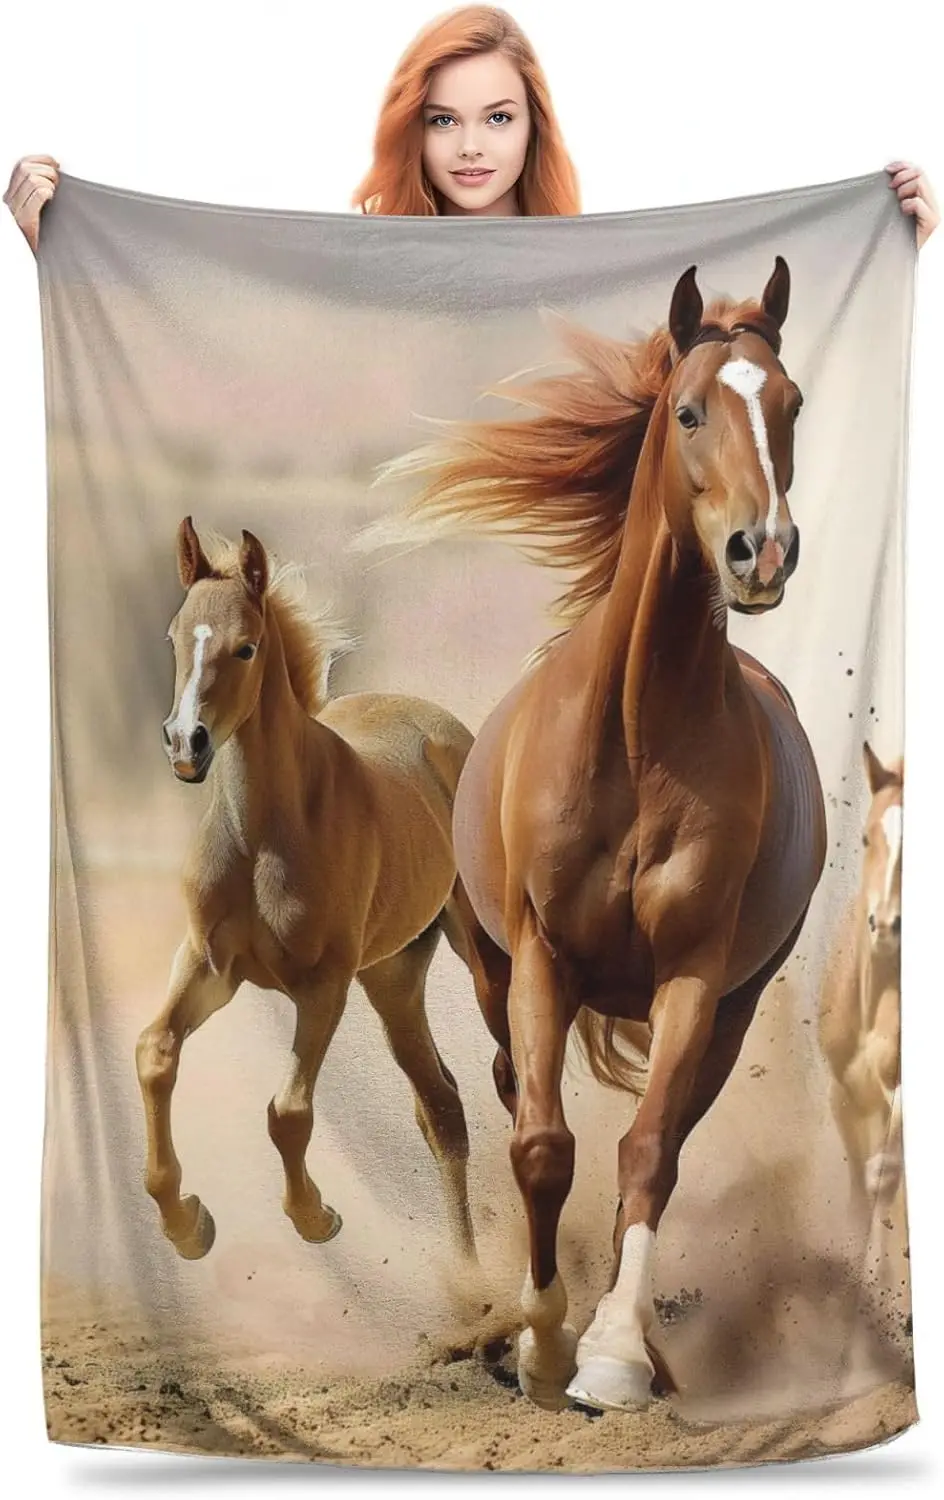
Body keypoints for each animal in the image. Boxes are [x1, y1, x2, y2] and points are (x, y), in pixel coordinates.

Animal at [135, 518, 479, 1267]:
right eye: (173, 638)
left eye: (246, 646)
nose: (185, 746)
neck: (263, 838)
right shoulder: (208, 966)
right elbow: (156, 1054)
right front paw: (185, 1222)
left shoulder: (323, 985)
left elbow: (288, 1112)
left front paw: (316, 1217)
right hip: (393, 977)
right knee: (441, 1107)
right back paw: (473, 1277)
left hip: (478, 955)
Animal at [360, 260, 828, 1412]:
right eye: (689, 409)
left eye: (792, 404)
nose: (762, 552)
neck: (638, 736)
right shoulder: (540, 956)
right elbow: (539, 1145)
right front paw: (536, 1342)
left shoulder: (696, 978)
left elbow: (648, 1151)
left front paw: (610, 1352)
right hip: (493, 974)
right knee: (501, 1092)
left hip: (731, 1011)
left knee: (662, 1137)